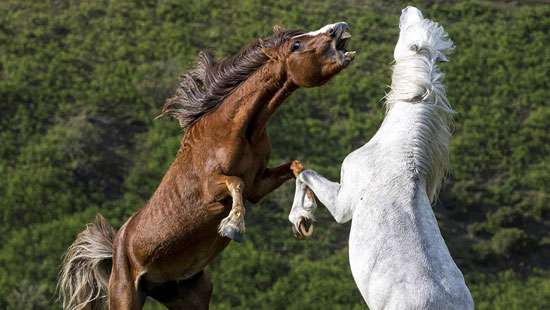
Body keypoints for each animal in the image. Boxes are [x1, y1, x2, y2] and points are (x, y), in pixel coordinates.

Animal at [59, 22, 354, 310]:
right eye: (296, 44)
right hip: (125, 295)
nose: (339, 27)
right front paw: (232, 226)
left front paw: (302, 219)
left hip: (189, 294)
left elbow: (295, 168)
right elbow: (235, 182)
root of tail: (115, 246)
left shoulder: (258, 186)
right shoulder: (211, 190)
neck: (237, 129)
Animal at [292, 7, 476, 310]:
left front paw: (301, 217)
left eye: (408, 35)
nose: (407, 9)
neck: (397, 153)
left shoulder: (343, 205)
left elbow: (303, 173)